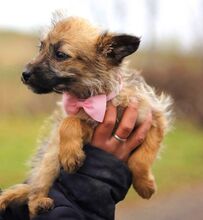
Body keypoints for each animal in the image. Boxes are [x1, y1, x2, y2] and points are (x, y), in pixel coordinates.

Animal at [0, 15, 173, 218]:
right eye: (40, 48)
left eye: (60, 55)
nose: (24, 74)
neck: (99, 96)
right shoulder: (85, 122)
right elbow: (68, 121)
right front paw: (70, 155)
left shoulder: (154, 120)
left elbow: (141, 160)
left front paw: (145, 185)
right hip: (50, 157)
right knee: (35, 189)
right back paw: (39, 202)